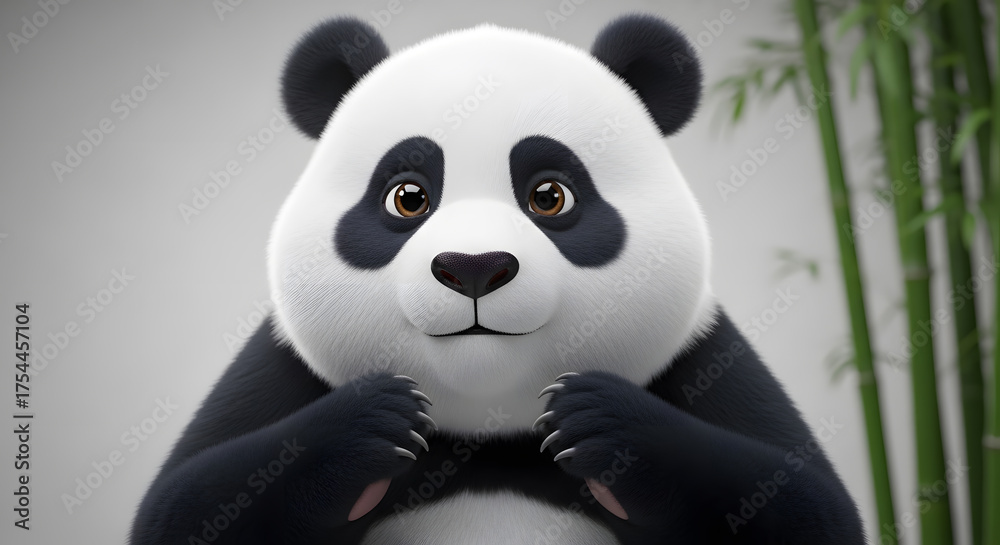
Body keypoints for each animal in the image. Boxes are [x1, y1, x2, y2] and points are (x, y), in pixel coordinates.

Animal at [132, 14, 865, 545]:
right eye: (407, 197)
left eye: (549, 196)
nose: (474, 267)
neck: (488, 436)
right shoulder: (285, 364)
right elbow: (182, 506)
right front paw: (373, 423)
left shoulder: (701, 354)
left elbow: (810, 505)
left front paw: (600, 422)